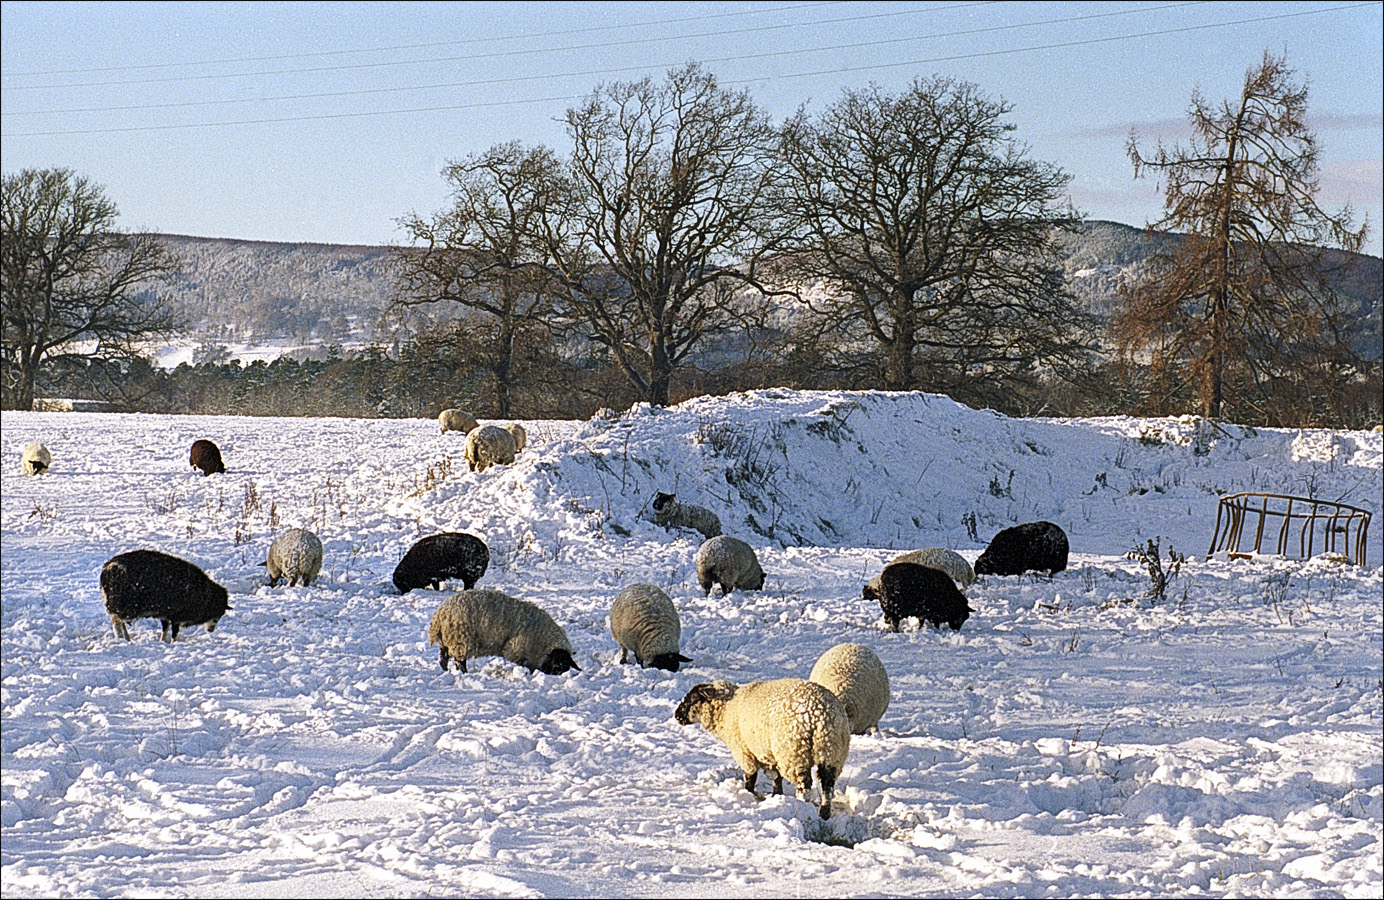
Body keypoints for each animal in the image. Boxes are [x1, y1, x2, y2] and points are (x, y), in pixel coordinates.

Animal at [98, 542, 231, 642]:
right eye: (216, 616)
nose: (210, 630)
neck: (204, 596)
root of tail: (107, 569)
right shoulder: (176, 615)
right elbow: (174, 632)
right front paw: (173, 643)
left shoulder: (165, 613)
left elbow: (165, 628)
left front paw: (162, 641)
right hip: (121, 605)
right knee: (117, 623)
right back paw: (122, 638)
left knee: (120, 622)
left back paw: (127, 638)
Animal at [431, 589, 584, 672]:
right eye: (557, 665)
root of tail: (441, 612)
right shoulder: (516, 649)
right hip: (461, 640)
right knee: (459, 662)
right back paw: (464, 673)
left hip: (448, 640)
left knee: (443, 658)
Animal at [672, 675, 847, 814]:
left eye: (694, 698)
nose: (677, 716)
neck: (727, 710)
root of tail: (821, 715)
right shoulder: (770, 754)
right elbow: (776, 778)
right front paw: (777, 796)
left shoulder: (745, 752)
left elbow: (750, 778)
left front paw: (749, 794)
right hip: (832, 752)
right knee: (828, 784)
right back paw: (824, 813)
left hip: (793, 752)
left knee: (805, 784)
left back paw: (802, 804)